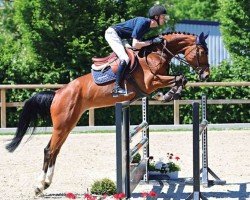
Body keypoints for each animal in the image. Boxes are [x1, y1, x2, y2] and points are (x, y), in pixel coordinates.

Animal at [5, 31, 209, 195]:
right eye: (202, 52)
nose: (206, 75)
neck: (157, 53)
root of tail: (58, 94)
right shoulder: (151, 82)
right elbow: (180, 78)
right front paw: (167, 95)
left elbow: (180, 79)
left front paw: (169, 94)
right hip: (62, 125)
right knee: (49, 150)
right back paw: (39, 186)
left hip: (68, 125)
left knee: (55, 150)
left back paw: (46, 184)